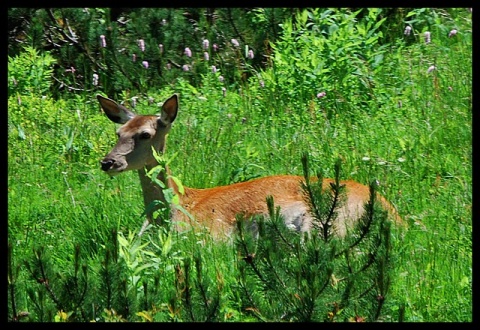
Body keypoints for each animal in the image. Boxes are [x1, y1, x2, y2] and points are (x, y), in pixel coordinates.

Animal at [95, 94, 404, 238]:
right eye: (118, 132)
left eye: (145, 134)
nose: (108, 162)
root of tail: (396, 216)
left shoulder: (212, 235)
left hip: (327, 221)